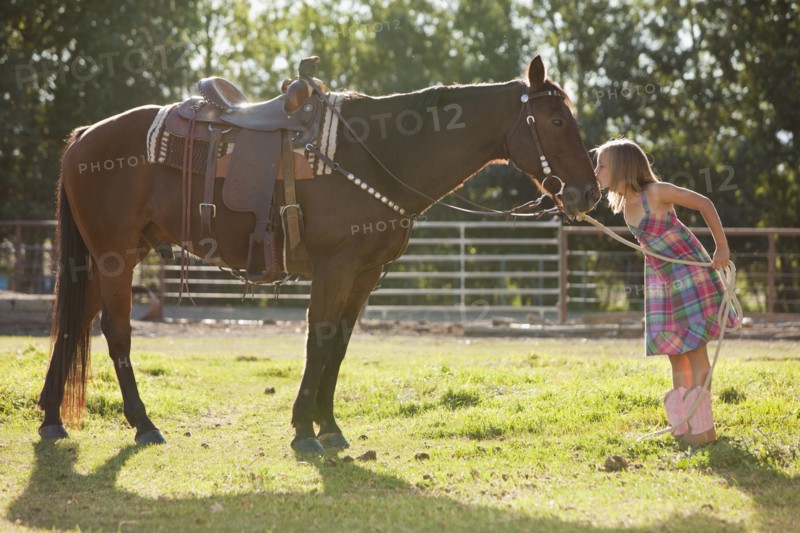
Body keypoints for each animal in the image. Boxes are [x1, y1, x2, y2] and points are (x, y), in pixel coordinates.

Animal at [38, 55, 600, 453]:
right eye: (555, 120)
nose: (588, 193)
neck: (378, 154)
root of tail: (83, 138)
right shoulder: (335, 268)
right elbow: (319, 340)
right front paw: (304, 430)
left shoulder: (365, 275)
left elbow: (340, 345)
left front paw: (327, 425)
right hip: (114, 256)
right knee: (115, 331)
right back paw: (144, 424)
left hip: (109, 256)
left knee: (73, 323)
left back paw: (50, 418)